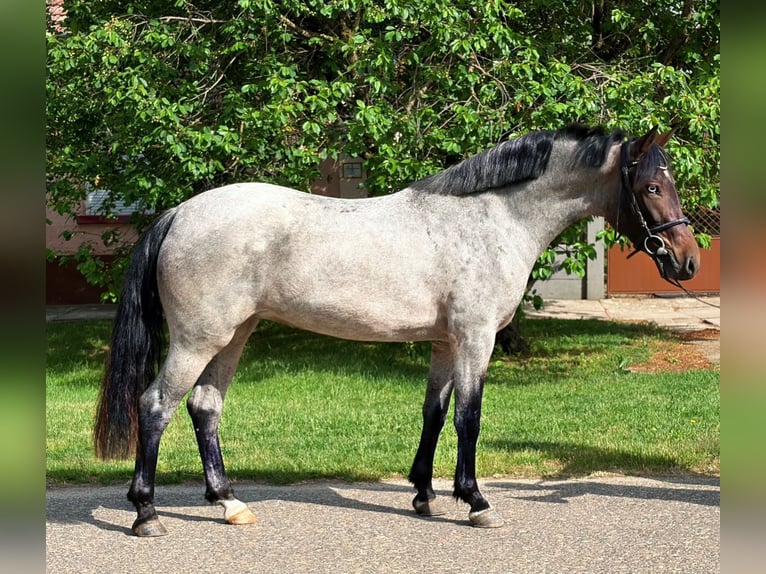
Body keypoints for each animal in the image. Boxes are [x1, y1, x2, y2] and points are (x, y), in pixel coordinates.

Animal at [94, 124, 699, 536]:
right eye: (652, 187)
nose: (687, 261)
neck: (492, 218)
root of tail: (180, 213)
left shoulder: (443, 344)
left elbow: (434, 413)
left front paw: (424, 496)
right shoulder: (475, 340)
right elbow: (468, 418)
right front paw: (475, 502)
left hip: (234, 335)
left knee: (204, 408)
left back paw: (229, 502)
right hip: (199, 339)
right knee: (156, 406)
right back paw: (146, 513)